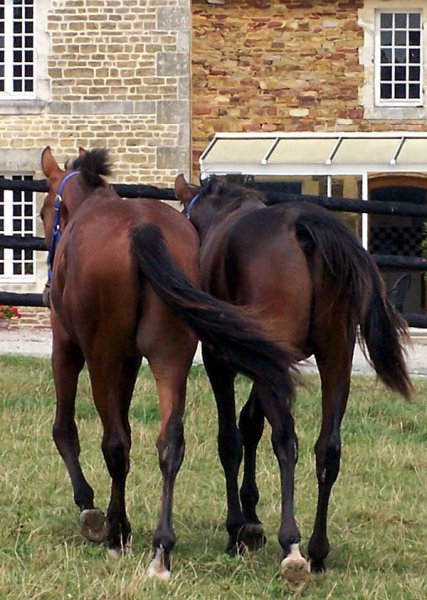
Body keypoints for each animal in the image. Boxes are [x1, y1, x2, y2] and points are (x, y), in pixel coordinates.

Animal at [40, 146, 298, 580]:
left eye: (44, 211)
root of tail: (143, 230)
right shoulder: (130, 361)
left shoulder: (68, 347)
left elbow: (66, 430)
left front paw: (92, 510)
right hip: (170, 357)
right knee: (170, 441)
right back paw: (161, 546)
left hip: (103, 356)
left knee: (115, 443)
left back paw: (118, 533)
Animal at [176, 173, 412, 592]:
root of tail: (302, 225)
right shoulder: (267, 361)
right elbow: (250, 424)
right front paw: (252, 518)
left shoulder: (221, 359)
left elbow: (231, 440)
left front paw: (237, 527)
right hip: (336, 357)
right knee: (327, 449)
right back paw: (317, 548)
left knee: (286, 440)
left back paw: (292, 544)